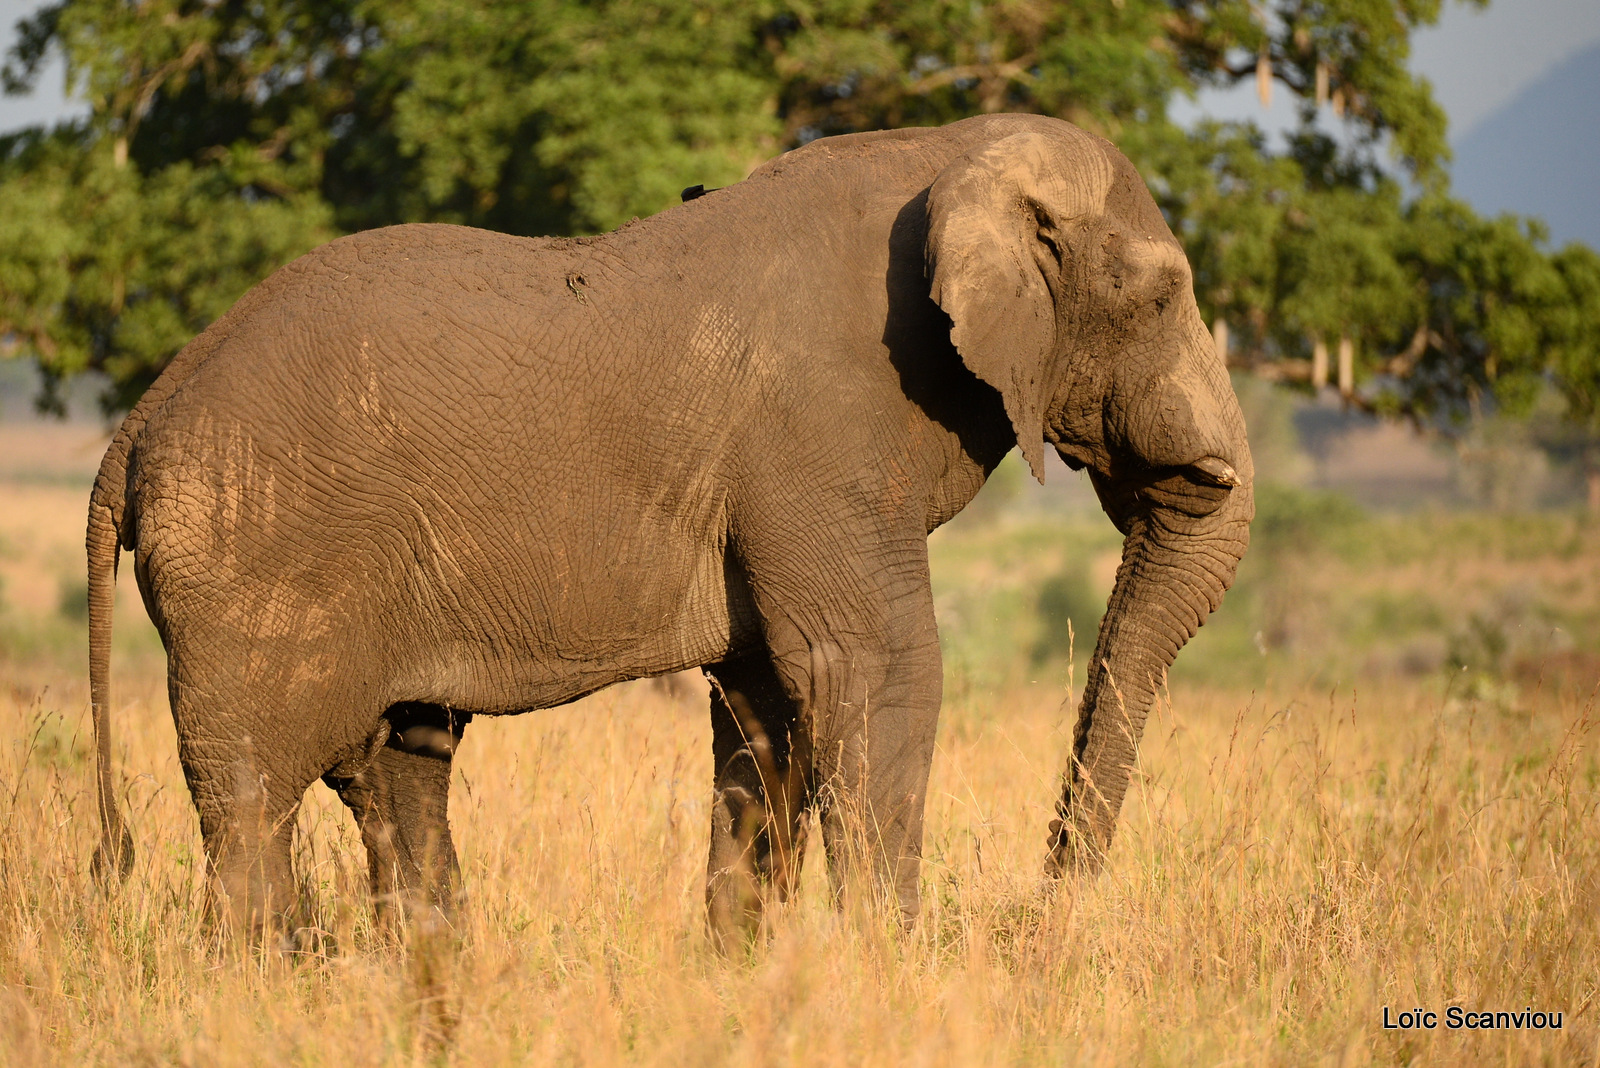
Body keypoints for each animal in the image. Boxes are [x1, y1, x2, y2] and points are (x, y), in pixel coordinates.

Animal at [87, 112, 1254, 946]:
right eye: (1164, 298)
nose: (1040, 915)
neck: (953, 150)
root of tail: (135, 426)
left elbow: (766, 701)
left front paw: (745, 968)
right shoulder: (816, 437)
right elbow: (877, 669)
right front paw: (889, 967)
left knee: (400, 767)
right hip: (252, 568)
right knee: (256, 801)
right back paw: (269, 977)